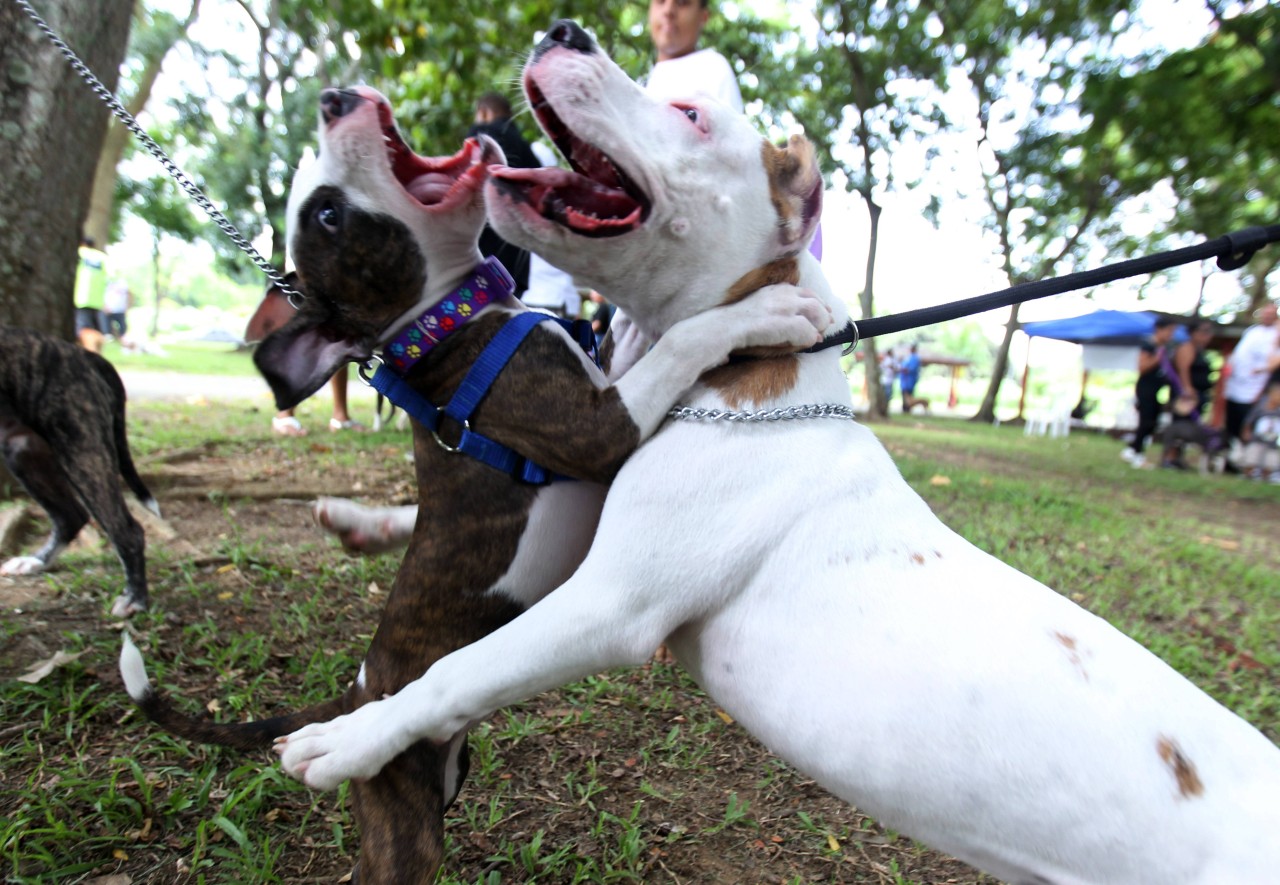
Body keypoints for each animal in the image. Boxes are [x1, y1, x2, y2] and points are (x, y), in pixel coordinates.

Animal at [122, 84, 829, 885]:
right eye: (329, 215)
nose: (335, 96)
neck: (440, 324)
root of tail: (355, 690)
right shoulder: (598, 428)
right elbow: (683, 339)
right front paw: (763, 311)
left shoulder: (603, 382)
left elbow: (637, 342)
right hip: (402, 810)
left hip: (444, 777)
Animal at [280, 20, 1280, 885]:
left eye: (690, 114)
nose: (566, 30)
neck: (746, 377)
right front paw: (364, 520)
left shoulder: (609, 604)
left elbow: (456, 670)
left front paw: (350, 737)